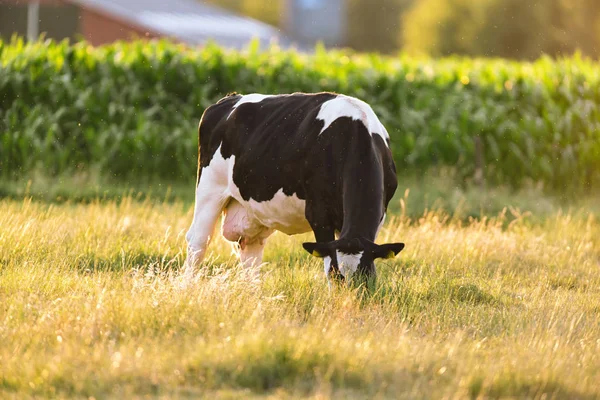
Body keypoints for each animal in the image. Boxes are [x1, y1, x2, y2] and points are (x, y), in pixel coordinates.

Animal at [185, 91, 406, 282]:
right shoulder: (319, 214)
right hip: (209, 189)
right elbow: (329, 263)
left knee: (250, 250)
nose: (350, 301)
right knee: (198, 242)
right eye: (340, 277)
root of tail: (230, 98)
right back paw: (188, 285)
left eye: (367, 276)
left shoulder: (378, 217)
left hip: (252, 211)